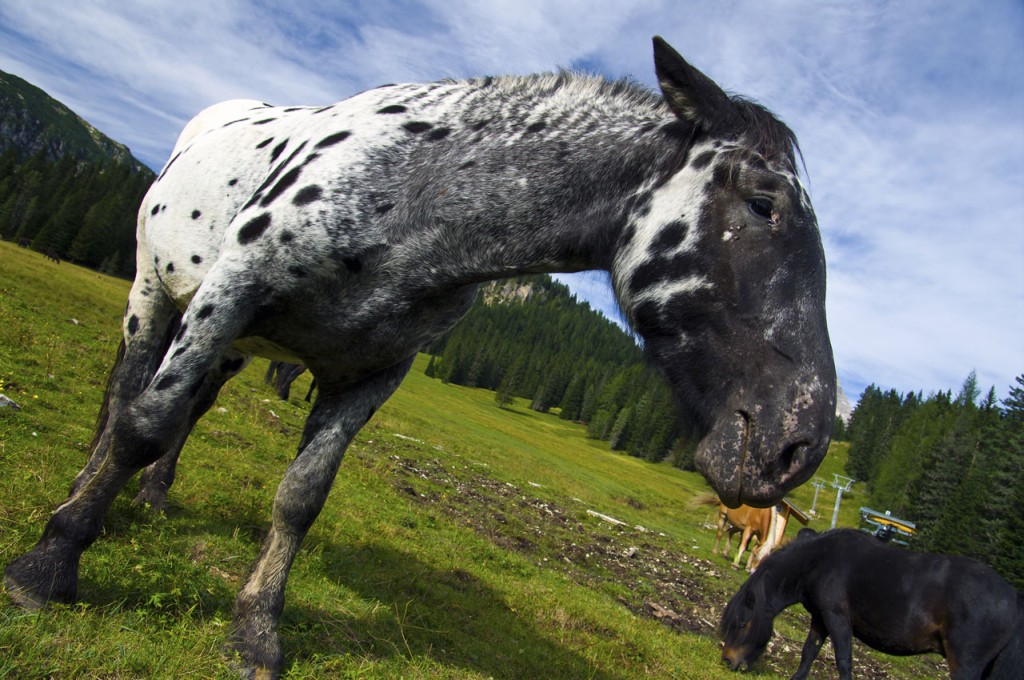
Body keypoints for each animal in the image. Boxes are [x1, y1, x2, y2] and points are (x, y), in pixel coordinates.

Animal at [6, 37, 836, 678]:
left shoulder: (371, 373)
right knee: (127, 392)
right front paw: (49, 563)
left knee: (189, 407)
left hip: (233, 344)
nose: (798, 446)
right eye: (763, 203)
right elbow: (142, 423)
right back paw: (85, 496)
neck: (415, 202)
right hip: (159, 295)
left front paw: (254, 632)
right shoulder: (232, 292)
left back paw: (150, 497)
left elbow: (301, 497)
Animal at [720, 528, 1023, 679]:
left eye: (742, 624)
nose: (727, 661)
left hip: (965, 662)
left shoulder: (838, 618)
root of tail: (1014, 598)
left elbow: (843, 661)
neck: (819, 562)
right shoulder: (820, 618)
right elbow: (808, 653)